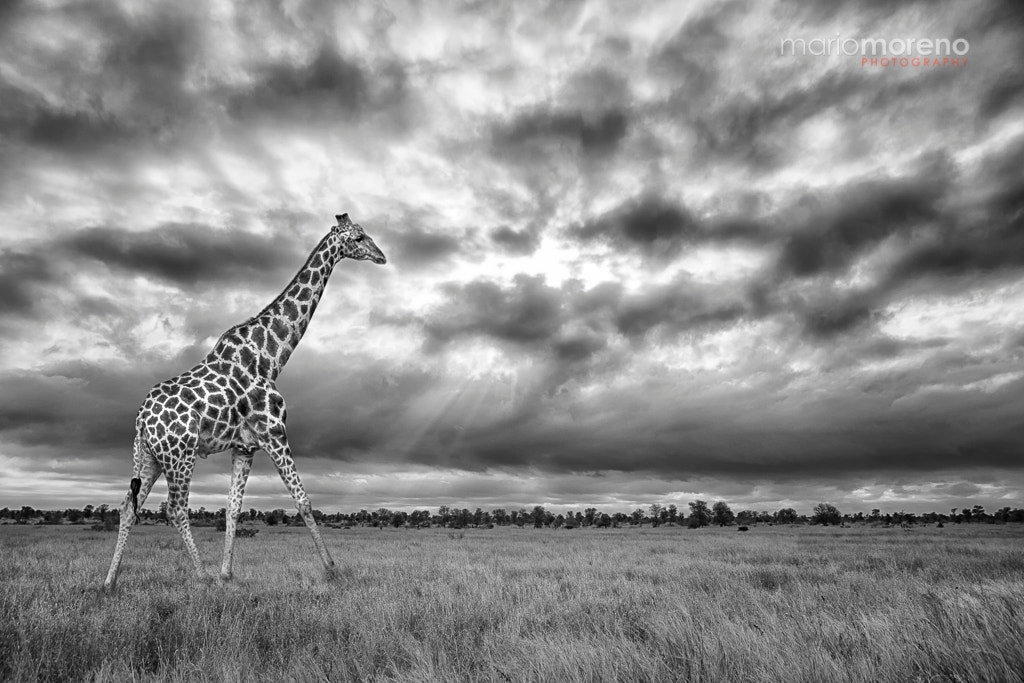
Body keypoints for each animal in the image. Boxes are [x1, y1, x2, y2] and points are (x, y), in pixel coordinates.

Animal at [103, 215, 385, 593]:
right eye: (358, 237)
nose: (381, 256)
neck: (271, 357)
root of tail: (140, 420)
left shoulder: (245, 446)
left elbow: (232, 508)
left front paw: (227, 574)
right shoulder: (275, 433)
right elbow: (303, 501)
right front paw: (332, 569)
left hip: (148, 456)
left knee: (127, 507)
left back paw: (109, 581)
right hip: (179, 454)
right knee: (175, 508)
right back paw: (201, 576)